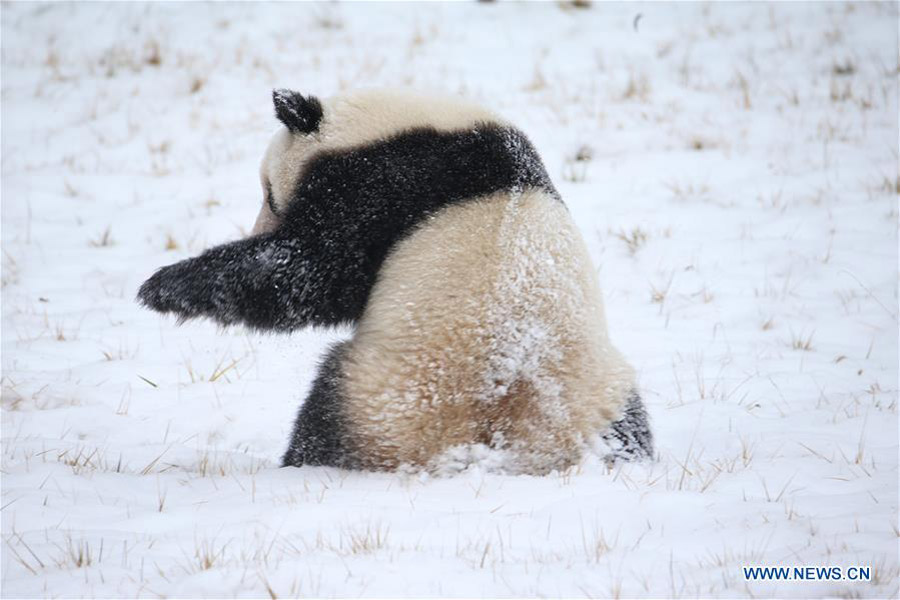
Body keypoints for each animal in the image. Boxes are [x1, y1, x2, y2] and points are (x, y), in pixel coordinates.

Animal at [137, 88, 652, 474]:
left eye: (267, 191)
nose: (256, 227)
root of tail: (495, 450)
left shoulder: (383, 183)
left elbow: (310, 274)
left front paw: (165, 286)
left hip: (385, 397)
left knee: (326, 414)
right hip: (597, 396)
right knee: (628, 425)